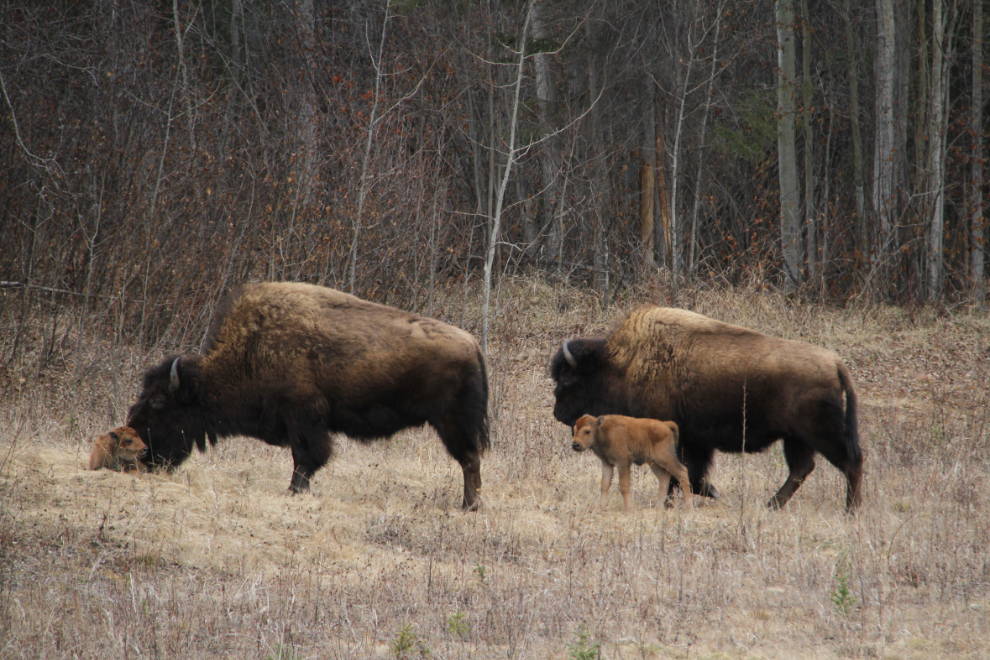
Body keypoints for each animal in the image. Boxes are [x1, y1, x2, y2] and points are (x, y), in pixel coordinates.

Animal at [128, 282, 492, 508]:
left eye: (157, 402)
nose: (142, 451)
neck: (251, 349)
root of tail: (473, 345)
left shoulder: (303, 416)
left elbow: (306, 457)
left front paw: (294, 491)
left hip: (453, 422)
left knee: (469, 459)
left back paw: (469, 505)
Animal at [556, 306, 864, 512]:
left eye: (567, 379)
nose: (557, 413)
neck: (623, 364)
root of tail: (835, 363)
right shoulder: (696, 442)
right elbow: (692, 472)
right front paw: (707, 492)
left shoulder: (679, 440)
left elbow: (683, 472)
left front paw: (701, 494)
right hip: (796, 438)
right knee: (802, 468)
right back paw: (771, 504)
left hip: (821, 433)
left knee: (850, 462)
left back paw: (851, 509)